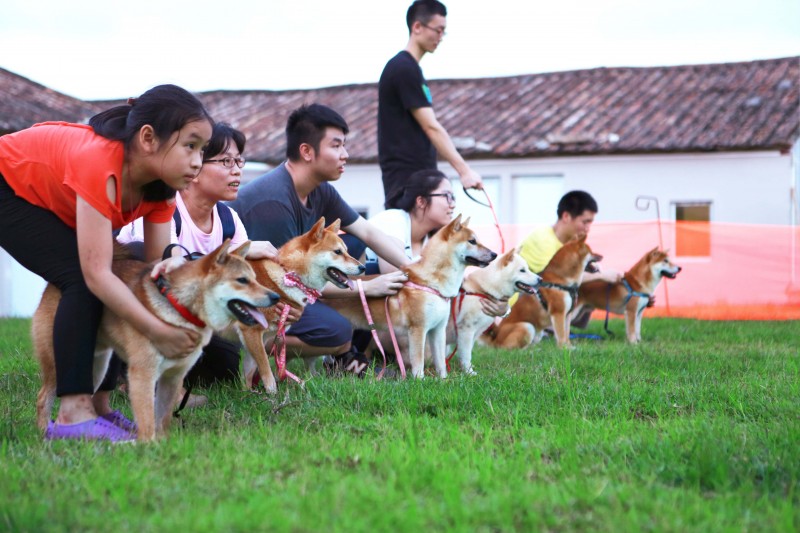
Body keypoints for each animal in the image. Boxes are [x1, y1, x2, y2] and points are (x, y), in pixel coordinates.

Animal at [32, 241, 278, 440]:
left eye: (256, 279)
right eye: (242, 280)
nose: (275, 296)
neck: (180, 309)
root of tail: (53, 285)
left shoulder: (174, 376)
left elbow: (163, 419)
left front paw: (163, 444)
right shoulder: (143, 373)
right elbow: (148, 421)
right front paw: (148, 447)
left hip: (98, 365)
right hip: (60, 362)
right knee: (43, 397)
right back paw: (46, 433)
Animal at [236, 215, 364, 390]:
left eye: (347, 251)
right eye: (338, 252)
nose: (363, 268)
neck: (286, 272)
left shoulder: (258, 338)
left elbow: (249, 375)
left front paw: (249, 394)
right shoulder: (251, 331)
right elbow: (267, 373)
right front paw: (272, 394)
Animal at [324, 213, 494, 378]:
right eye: (472, 241)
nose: (494, 254)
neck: (431, 284)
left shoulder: (438, 330)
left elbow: (440, 361)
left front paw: (443, 380)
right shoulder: (418, 329)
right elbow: (418, 361)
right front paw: (420, 380)